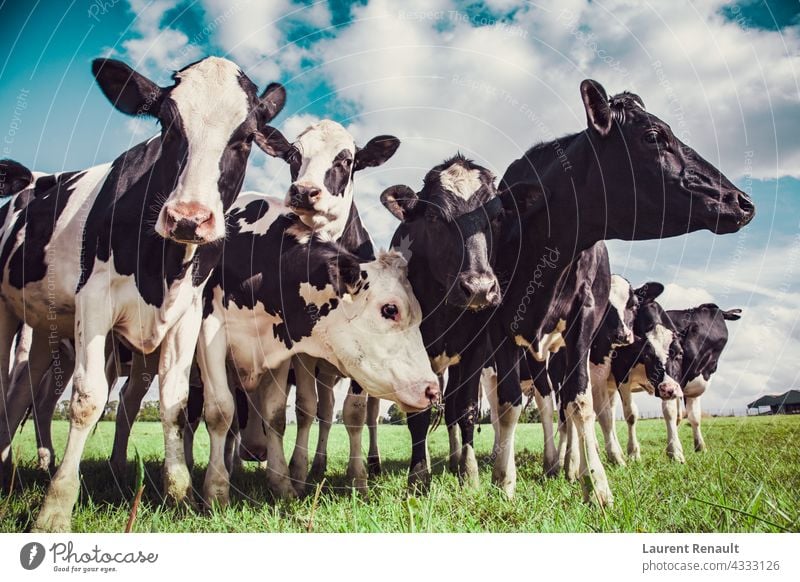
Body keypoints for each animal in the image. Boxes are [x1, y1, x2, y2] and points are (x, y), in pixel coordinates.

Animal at [0, 56, 286, 532]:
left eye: (246, 138)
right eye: (167, 125)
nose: (188, 218)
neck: (162, 267)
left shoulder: (188, 314)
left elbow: (175, 402)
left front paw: (179, 493)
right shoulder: (95, 300)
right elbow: (87, 400)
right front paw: (55, 508)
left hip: (46, 328)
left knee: (25, 390)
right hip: (8, 312)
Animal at [198, 194, 440, 504]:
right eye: (390, 309)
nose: (432, 389)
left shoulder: (280, 351)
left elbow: (276, 415)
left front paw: (282, 483)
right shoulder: (209, 333)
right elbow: (221, 412)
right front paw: (216, 491)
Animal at [380, 156, 500, 492]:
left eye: (497, 216)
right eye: (434, 216)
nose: (479, 288)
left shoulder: (476, 348)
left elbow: (466, 409)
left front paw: (469, 474)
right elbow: (419, 415)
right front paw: (419, 477)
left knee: (452, 408)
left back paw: (456, 459)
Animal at [488, 81, 756, 506]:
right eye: (653, 136)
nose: (742, 201)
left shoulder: (583, 327)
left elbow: (580, 404)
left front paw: (595, 482)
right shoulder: (500, 330)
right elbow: (509, 406)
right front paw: (505, 479)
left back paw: (570, 465)